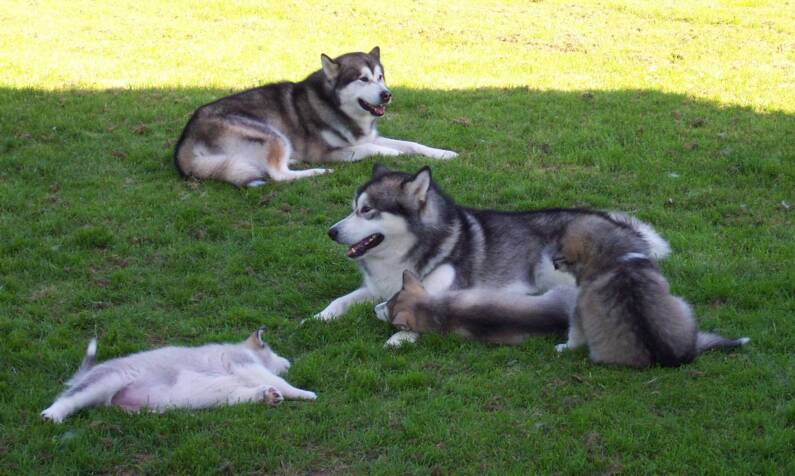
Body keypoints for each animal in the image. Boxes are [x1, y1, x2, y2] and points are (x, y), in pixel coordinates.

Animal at [42, 328, 318, 424]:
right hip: (106, 380)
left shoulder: (231, 390)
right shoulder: (243, 363)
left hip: (134, 406)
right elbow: (280, 381)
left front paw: (267, 396)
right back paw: (52, 415)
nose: (288, 362)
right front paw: (305, 393)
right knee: (68, 398)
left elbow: (247, 393)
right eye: (272, 349)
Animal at [174, 47, 460, 187]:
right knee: (278, 175)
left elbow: (412, 144)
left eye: (380, 77)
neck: (336, 107)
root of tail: (185, 140)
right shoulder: (330, 150)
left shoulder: (366, 137)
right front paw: (396, 155)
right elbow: (376, 149)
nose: (387, 94)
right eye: (363, 79)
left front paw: (443, 153)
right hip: (272, 135)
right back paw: (315, 172)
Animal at [552, 215, 748, 368]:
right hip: (683, 305)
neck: (612, 252)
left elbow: (574, 333)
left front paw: (564, 347)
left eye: (560, 248)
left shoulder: (578, 309)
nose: (553, 262)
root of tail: (665, 359)